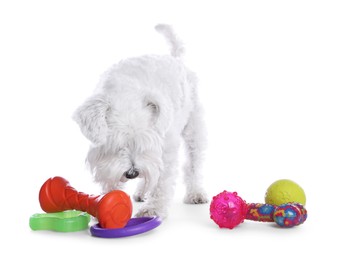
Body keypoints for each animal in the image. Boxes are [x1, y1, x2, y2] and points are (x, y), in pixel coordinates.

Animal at [72, 24, 207, 219]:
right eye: (115, 144)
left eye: (144, 141)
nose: (132, 173)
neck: (126, 93)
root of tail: (176, 58)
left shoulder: (165, 149)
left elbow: (162, 181)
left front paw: (153, 209)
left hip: (194, 130)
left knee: (193, 164)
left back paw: (195, 193)